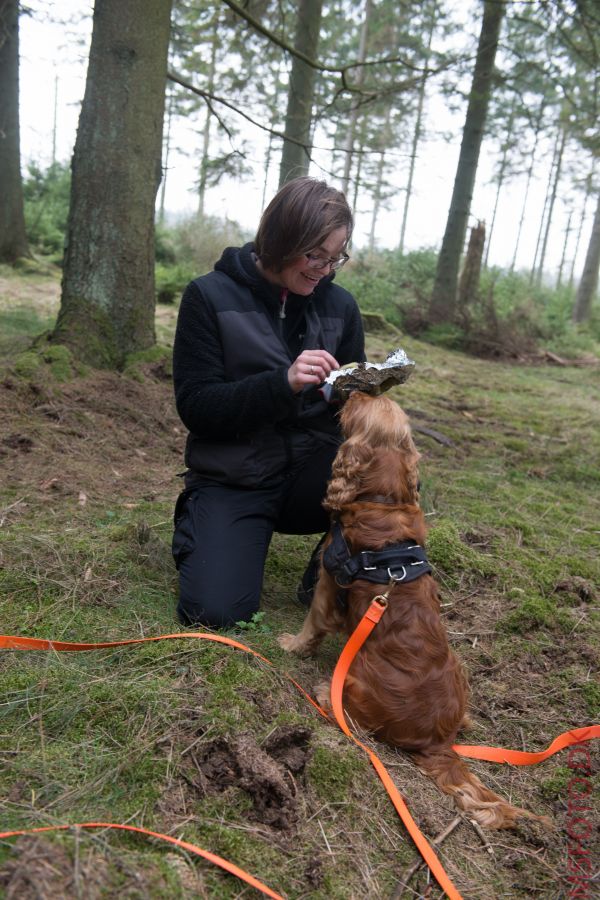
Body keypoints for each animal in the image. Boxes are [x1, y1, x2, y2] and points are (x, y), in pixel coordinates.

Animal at [278, 394, 552, 828]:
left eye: (360, 409)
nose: (356, 392)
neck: (385, 500)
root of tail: (439, 742)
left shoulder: (327, 579)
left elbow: (313, 624)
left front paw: (291, 644)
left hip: (354, 684)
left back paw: (324, 694)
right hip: (460, 670)